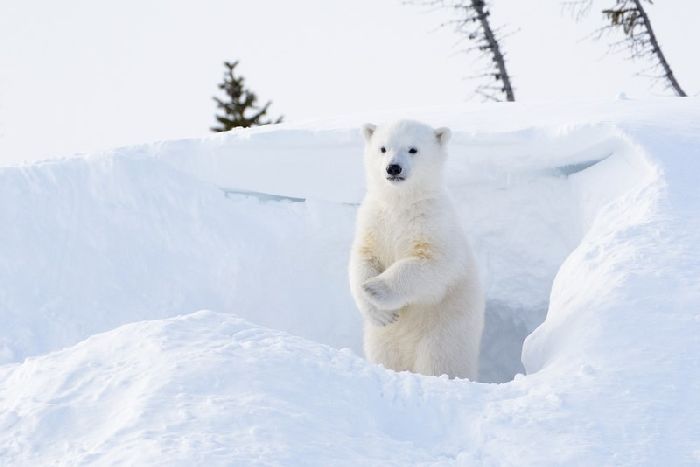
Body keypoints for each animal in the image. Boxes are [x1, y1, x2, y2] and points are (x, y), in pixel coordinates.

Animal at [348, 120, 484, 380]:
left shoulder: (434, 225)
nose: (393, 168)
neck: (400, 203)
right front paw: (379, 310)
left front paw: (375, 288)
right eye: (383, 148)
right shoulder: (373, 221)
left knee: (439, 362)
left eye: (413, 149)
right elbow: (363, 258)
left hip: (443, 333)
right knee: (385, 356)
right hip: (383, 340)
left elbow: (432, 265)